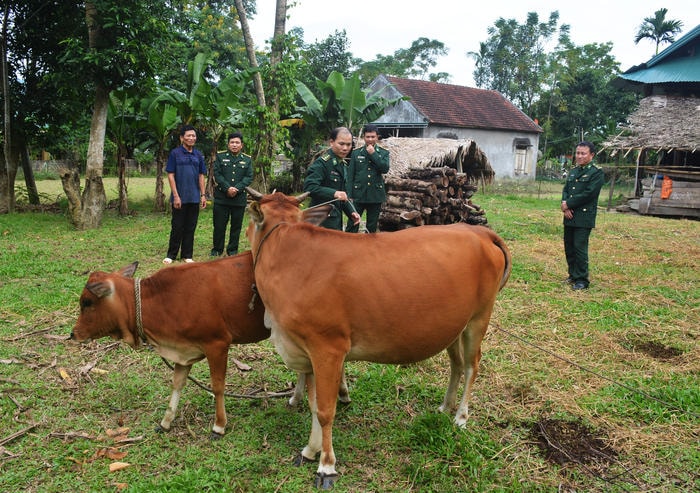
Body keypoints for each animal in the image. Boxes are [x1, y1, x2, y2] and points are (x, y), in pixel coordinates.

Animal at [68, 254, 320, 438]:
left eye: (87, 302)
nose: (73, 334)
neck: (162, 301)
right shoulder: (182, 351)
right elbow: (177, 384)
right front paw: (166, 421)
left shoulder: (218, 344)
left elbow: (217, 386)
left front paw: (219, 425)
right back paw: (298, 398)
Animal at [247, 189, 516, 488]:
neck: (286, 255)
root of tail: (478, 230)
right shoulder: (307, 351)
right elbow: (314, 404)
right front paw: (309, 450)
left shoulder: (328, 348)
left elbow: (326, 410)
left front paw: (326, 465)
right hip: (454, 325)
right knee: (456, 364)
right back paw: (445, 407)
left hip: (479, 318)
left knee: (472, 365)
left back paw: (460, 417)